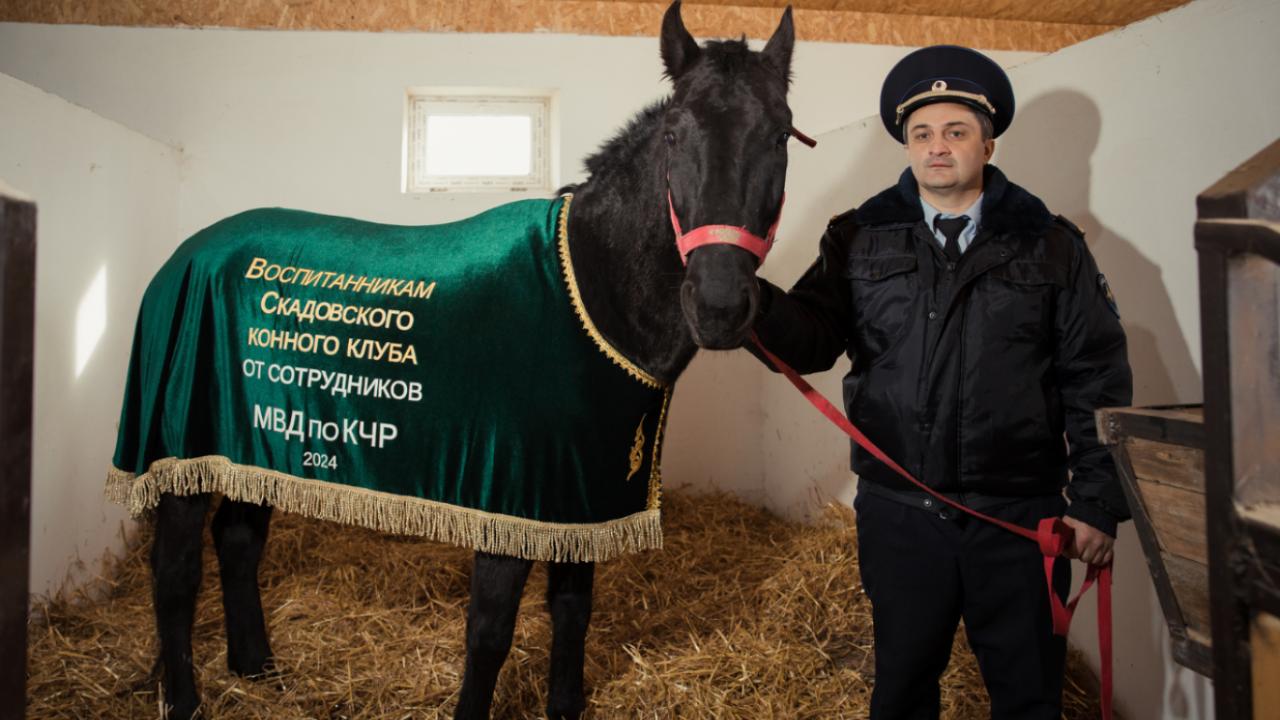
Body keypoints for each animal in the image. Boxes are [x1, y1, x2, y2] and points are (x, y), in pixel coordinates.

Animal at [126, 3, 797, 717]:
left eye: (781, 135)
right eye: (674, 134)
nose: (720, 303)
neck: (588, 289)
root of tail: (185, 254)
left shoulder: (575, 497)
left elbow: (572, 610)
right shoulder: (509, 496)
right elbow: (491, 631)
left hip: (259, 446)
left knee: (238, 540)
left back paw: (257, 668)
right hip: (185, 455)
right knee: (175, 576)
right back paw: (186, 699)